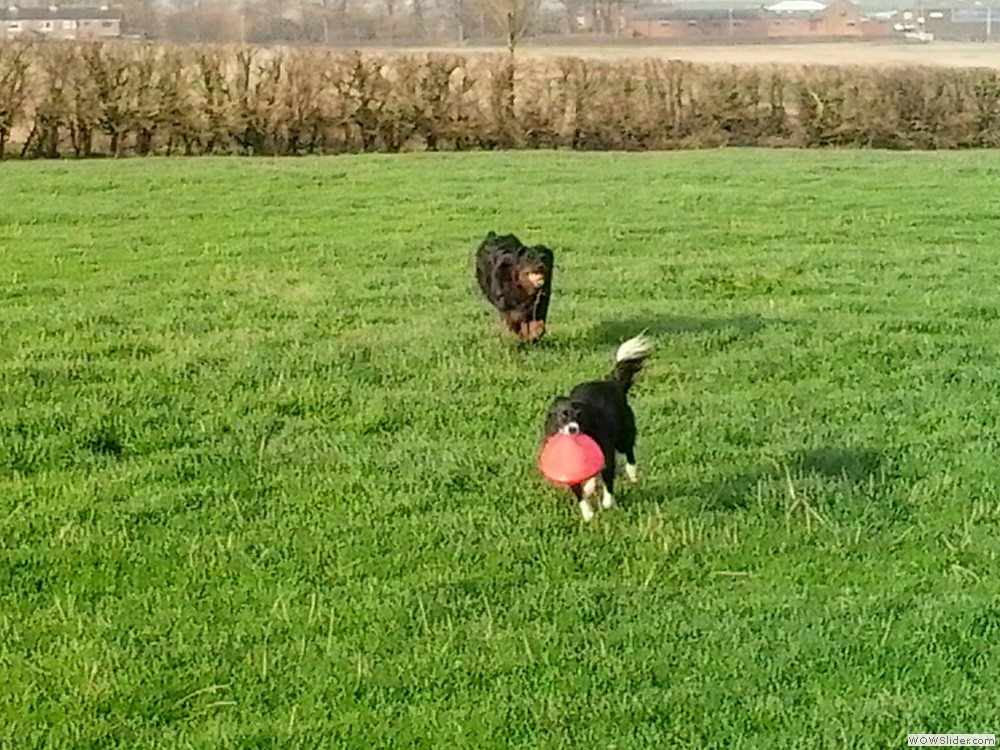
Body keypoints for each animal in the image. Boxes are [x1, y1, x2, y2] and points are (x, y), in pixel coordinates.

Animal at [543, 334, 654, 521]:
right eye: (563, 416)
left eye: (579, 416)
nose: (573, 429)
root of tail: (612, 383)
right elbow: (580, 491)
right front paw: (587, 513)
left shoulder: (607, 451)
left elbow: (608, 478)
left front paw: (607, 502)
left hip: (624, 432)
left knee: (628, 451)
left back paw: (631, 472)